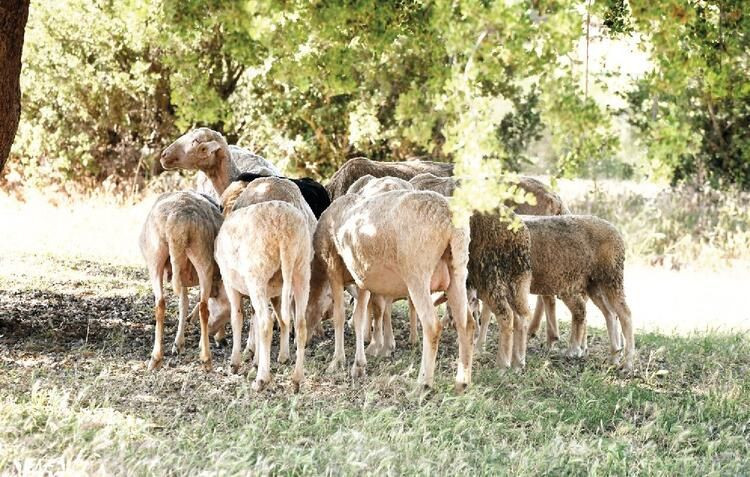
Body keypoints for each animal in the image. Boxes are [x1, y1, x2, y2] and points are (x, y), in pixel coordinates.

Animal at [306, 190, 476, 390]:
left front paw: (337, 361)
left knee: (432, 325)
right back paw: (462, 382)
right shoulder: (362, 278)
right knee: (467, 324)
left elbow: (340, 316)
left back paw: (422, 384)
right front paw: (359, 365)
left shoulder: (333, 269)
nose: (300, 340)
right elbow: (359, 318)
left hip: (417, 273)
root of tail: (449, 218)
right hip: (457, 271)